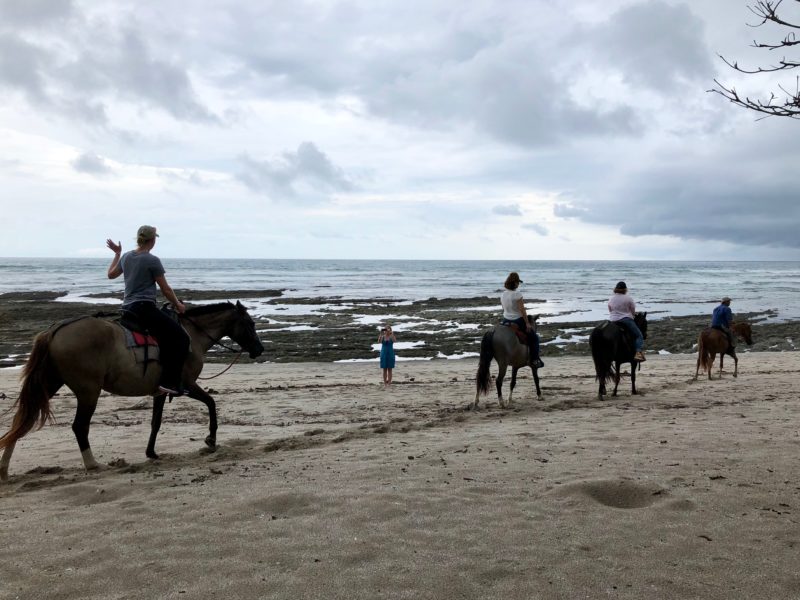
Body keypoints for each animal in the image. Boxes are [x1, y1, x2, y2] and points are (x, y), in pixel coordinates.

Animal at [1, 302, 268, 480]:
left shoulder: (161, 390)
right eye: (250, 323)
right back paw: (92, 464)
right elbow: (211, 403)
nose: (259, 349)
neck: (192, 336)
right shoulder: (186, 384)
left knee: (22, 420)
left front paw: (151, 452)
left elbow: (156, 422)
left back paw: (4, 467)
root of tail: (54, 330)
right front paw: (211, 439)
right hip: (88, 391)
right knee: (79, 427)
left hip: (49, 383)